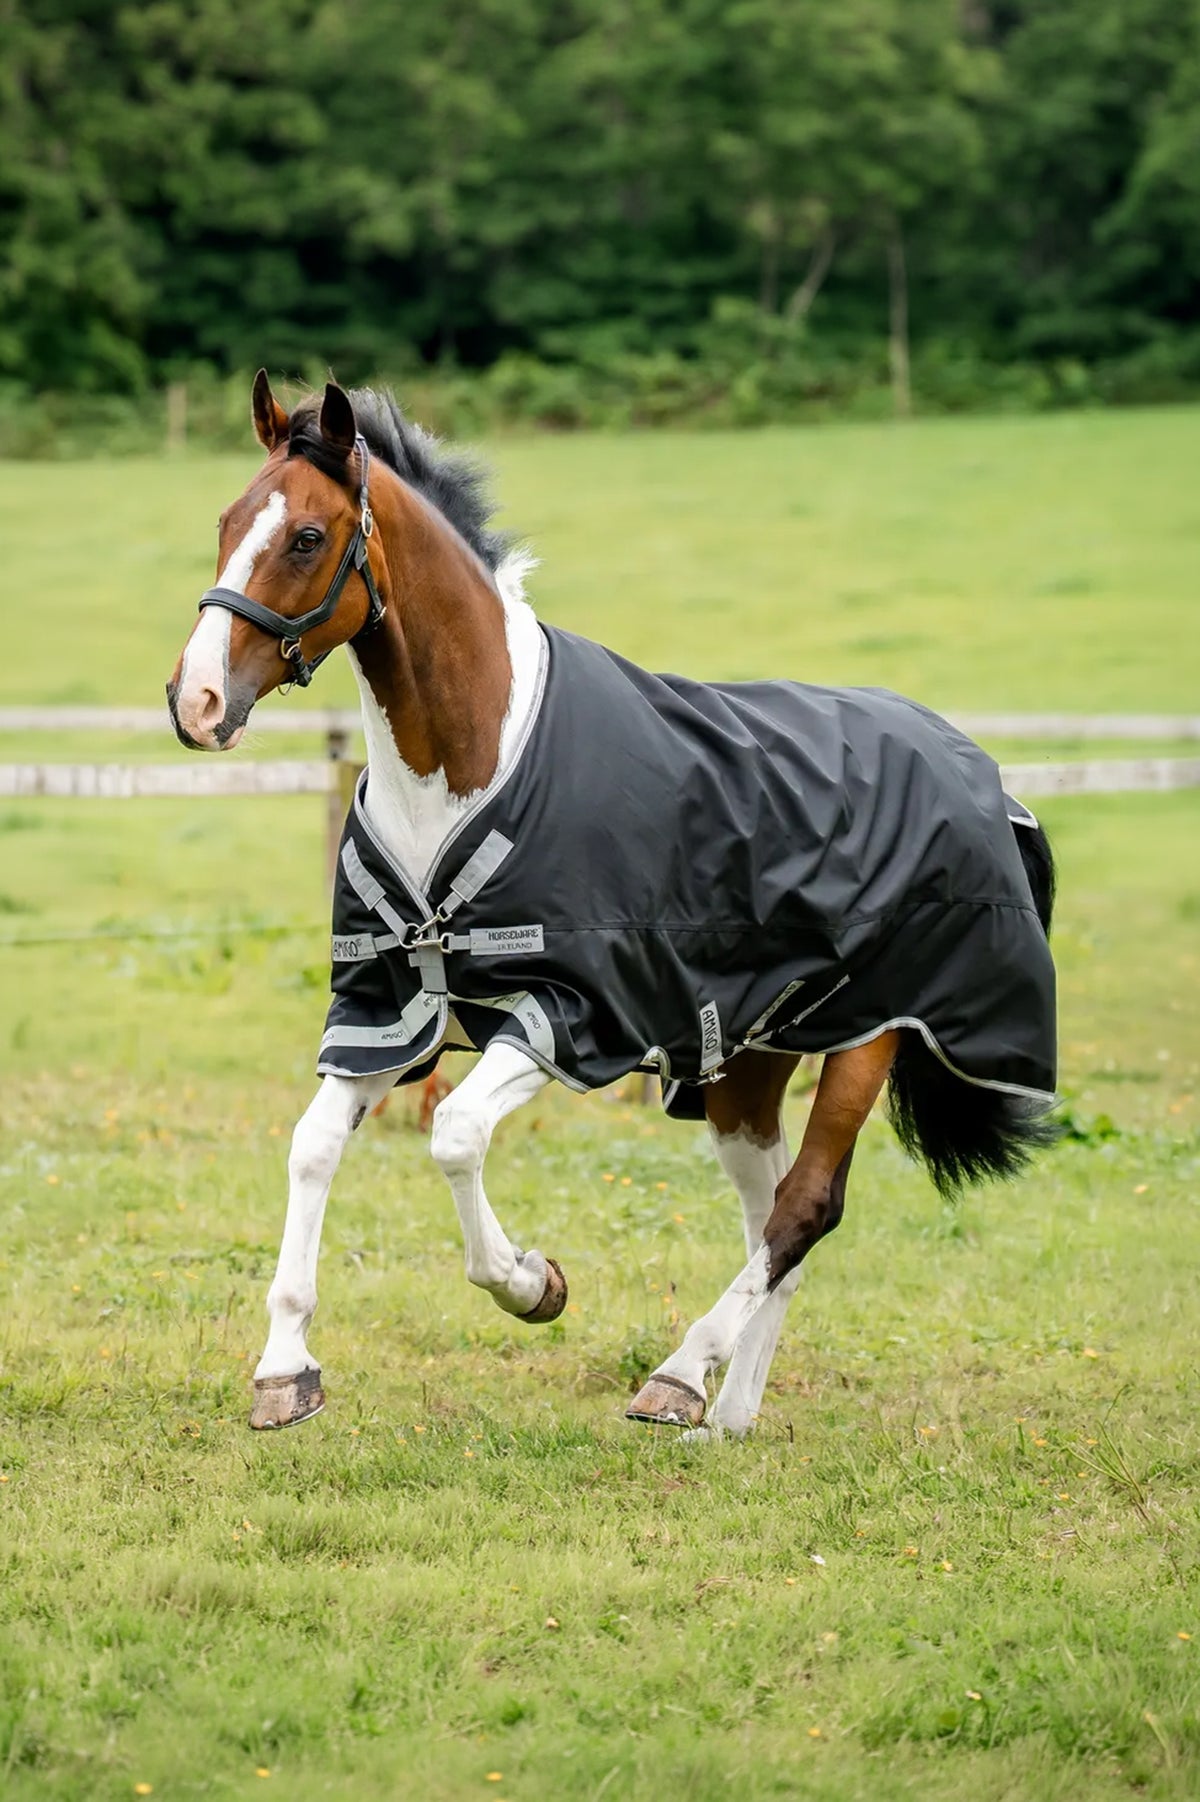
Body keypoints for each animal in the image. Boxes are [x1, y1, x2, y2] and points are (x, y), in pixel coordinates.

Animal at [167, 373, 1058, 1439]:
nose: (196, 702)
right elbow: (312, 1148)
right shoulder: (389, 1011)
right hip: (747, 1063)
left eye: (305, 536)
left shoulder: (569, 1013)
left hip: (872, 1034)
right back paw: (728, 1416)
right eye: (225, 522)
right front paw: (285, 1370)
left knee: (806, 1206)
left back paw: (680, 1377)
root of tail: (977, 768)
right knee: (772, 1223)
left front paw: (531, 1283)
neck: (466, 766)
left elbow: (455, 1134)